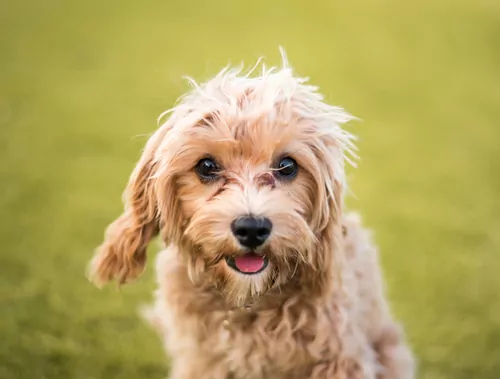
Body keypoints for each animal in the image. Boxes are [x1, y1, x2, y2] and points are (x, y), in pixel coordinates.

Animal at [89, 51, 414, 379]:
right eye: (207, 166)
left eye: (287, 166)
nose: (252, 228)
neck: (247, 302)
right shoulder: (202, 362)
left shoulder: (342, 359)